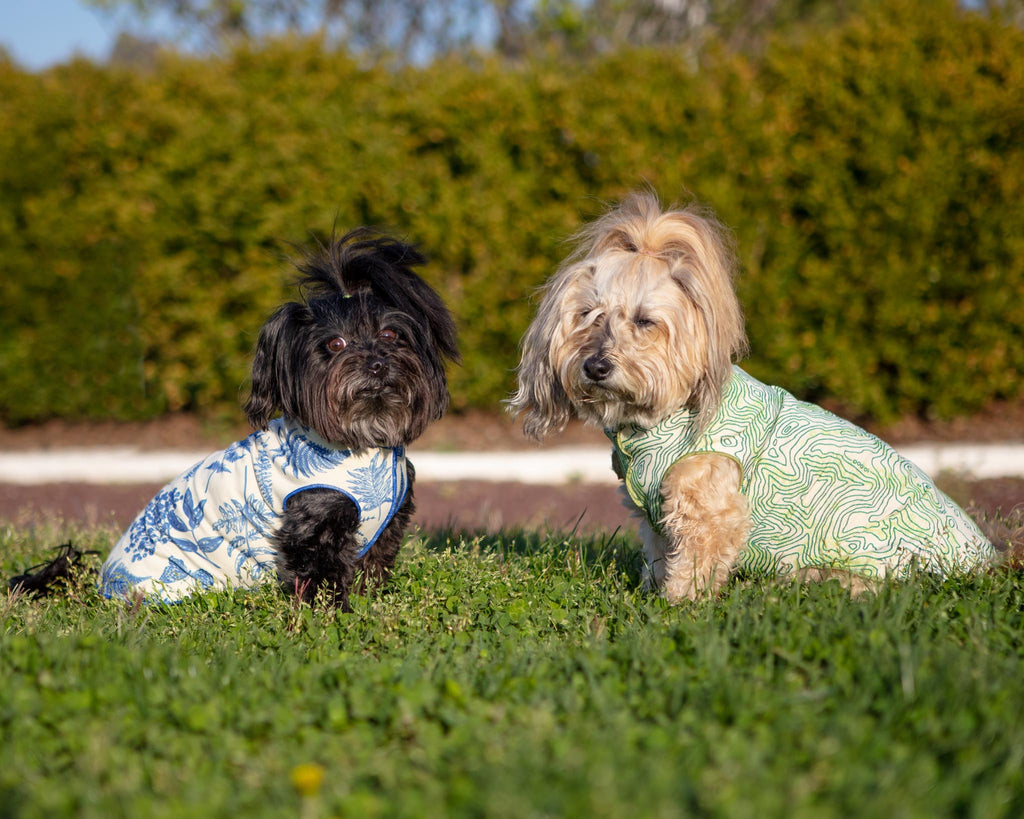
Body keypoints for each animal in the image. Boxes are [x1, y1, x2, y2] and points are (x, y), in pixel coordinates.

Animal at [507, 192, 995, 601]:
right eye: (588, 314)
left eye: (645, 321)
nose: (595, 366)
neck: (662, 418)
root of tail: (986, 563)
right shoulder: (658, 519)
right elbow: (660, 559)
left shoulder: (709, 514)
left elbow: (692, 569)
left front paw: (673, 608)